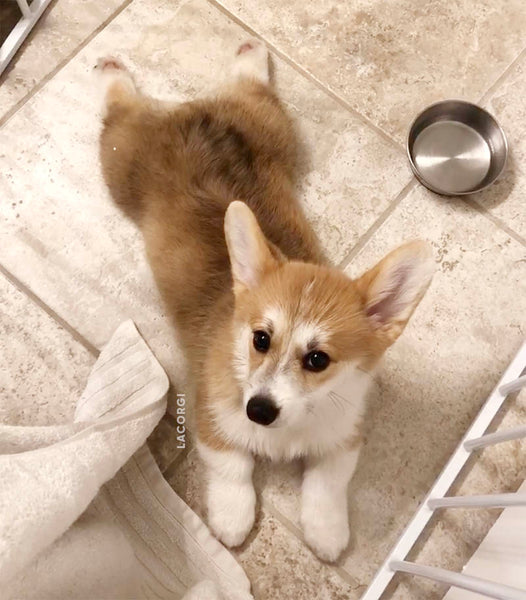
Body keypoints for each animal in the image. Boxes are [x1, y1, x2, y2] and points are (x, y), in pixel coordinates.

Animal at [97, 41, 436, 564]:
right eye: (260, 338)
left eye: (318, 360)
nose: (257, 410)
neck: (291, 426)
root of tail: (194, 112)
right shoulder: (212, 417)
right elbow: (233, 467)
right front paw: (232, 518)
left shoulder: (344, 434)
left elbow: (327, 483)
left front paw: (326, 531)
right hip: (122, 164)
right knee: (119, 109)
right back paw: (112, 70)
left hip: (275, 128)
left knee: (250, 86)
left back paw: (250, 54)